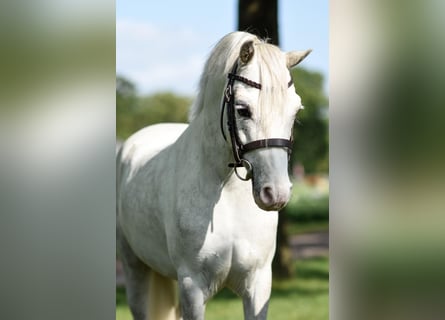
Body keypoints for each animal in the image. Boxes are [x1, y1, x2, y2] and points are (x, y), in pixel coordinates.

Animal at [116, 30, 310, 320]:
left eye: (295, 111)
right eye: (242, 109)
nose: (275, 193)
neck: (226, 193)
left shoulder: (258, 284)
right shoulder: (192, 287)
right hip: (135, 269)